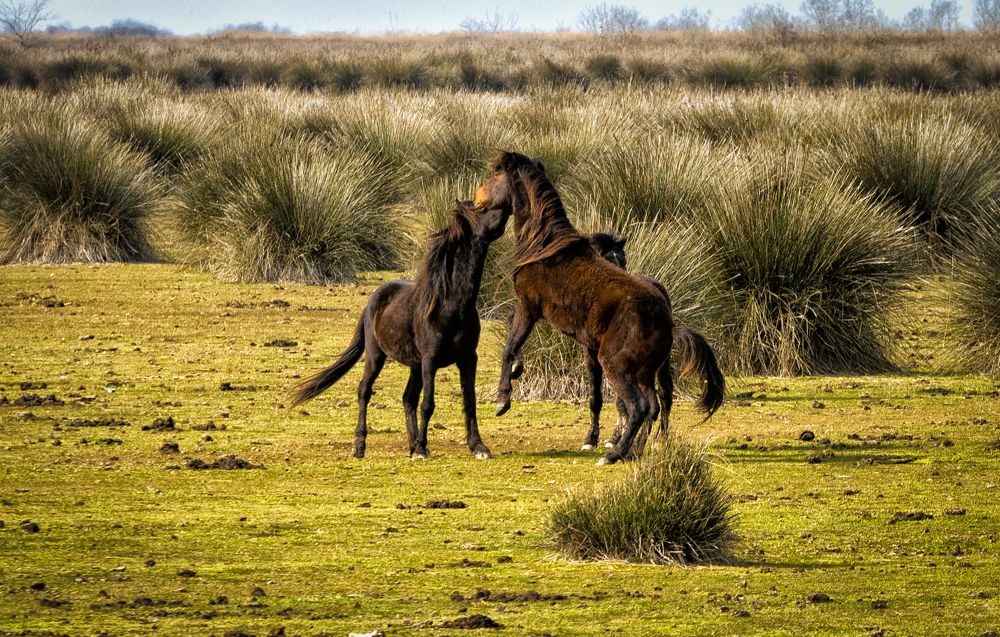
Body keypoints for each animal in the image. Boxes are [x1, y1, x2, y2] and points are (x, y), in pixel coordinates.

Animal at [289, 200, 511, 460]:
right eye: (479, 208)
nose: (507, 208)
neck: (451, 306)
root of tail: (372, 300)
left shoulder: (467, 358)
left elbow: (469, 401)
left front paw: (478, 447)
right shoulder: (430, 360)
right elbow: (428, 404)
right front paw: (423, 448)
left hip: (414, 365)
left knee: (408, 398)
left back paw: (412, 444)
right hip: (377, 356)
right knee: (365, 390)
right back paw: (360, 446)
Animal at [474, 151, 724, 464]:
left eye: (496, 175)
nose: (476, 199)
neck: (543, 245)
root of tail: (667, 318)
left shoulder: (529, 306)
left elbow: (509, 347)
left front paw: (502, 401)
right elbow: (513, 341)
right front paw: (518, 371)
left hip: (616, 366)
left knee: (640, 407)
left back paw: (614, 454)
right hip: (643, 371)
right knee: (653, 405)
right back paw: (633, 451)